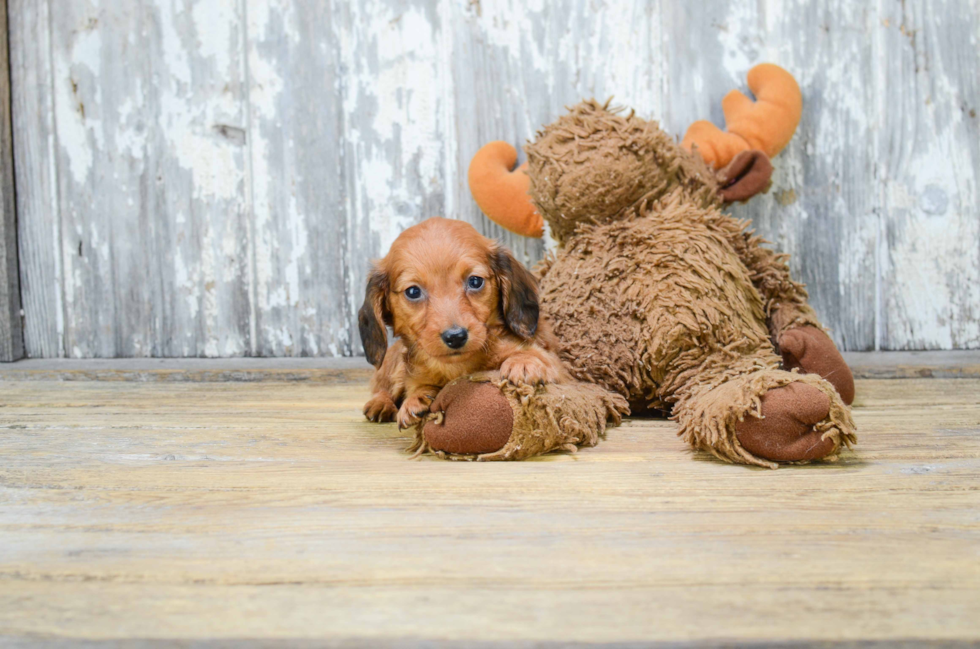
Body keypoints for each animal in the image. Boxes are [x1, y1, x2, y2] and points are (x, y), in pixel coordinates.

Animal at [358, 218, 568, 430]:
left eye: (475, 281)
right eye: (413, 292)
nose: (456, 337)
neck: (458, 367)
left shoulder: (561, 371)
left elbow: (537, 357)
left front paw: (523, 362)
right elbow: (416, 385)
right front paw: (416, 399)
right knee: (384, 387)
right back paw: (380, 404)